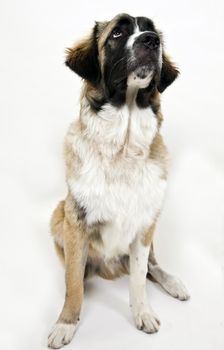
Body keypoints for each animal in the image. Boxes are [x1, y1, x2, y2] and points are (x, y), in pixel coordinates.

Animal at [48, 13, 190, 348]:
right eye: (117, 34)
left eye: (150, 29)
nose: (151, 40)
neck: (123, 144)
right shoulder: (75, 222)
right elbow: (73, 281)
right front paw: (66, 322)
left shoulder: (144, 224)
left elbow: (139, 277)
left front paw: (143, 313)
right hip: (58, 215)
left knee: (152, 266)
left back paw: (174, 283)